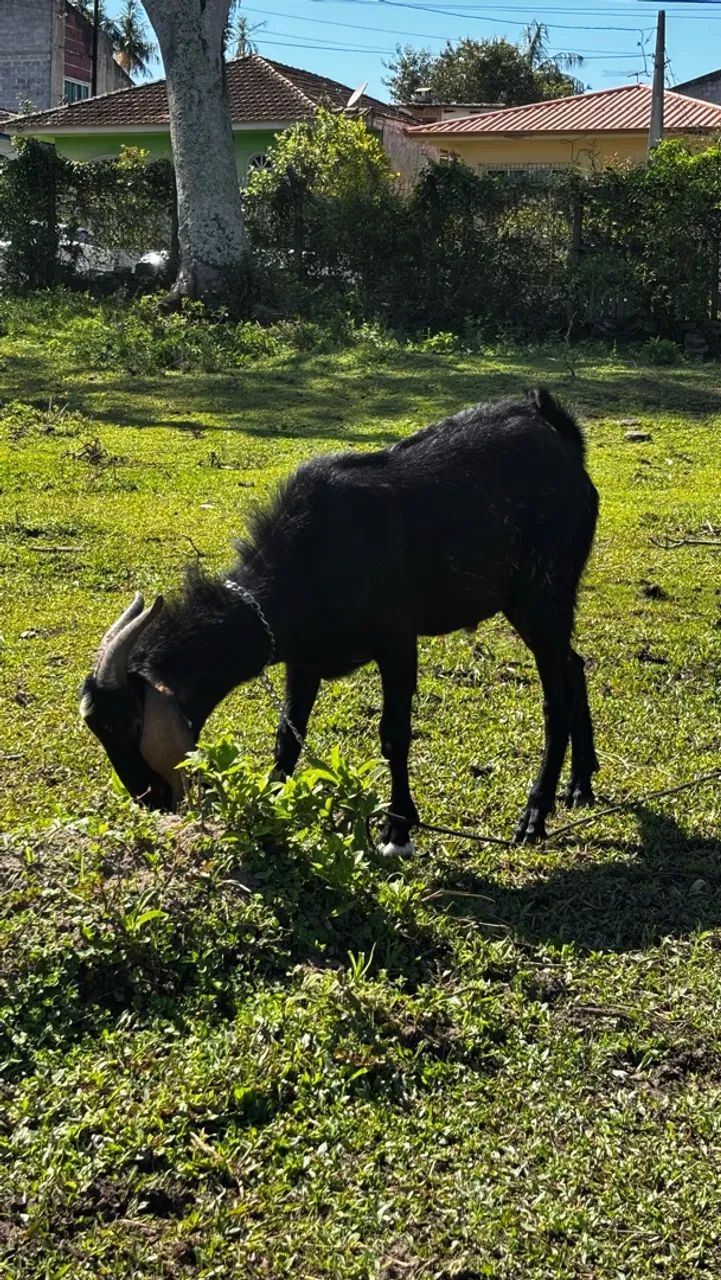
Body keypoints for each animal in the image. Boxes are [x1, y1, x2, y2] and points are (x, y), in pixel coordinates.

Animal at [80, 387, 599, 850]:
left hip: (542, 590)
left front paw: (398, 829)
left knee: (556, 698)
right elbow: (287, 736)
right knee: (574, 665)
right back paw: (580, 784)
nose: (149, 799)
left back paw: (534, 816)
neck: (306, 561)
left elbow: (393, 736)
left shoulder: (397, 641)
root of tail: (561, 435)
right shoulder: (302, 662)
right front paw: (274, 808)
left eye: (125, 722)